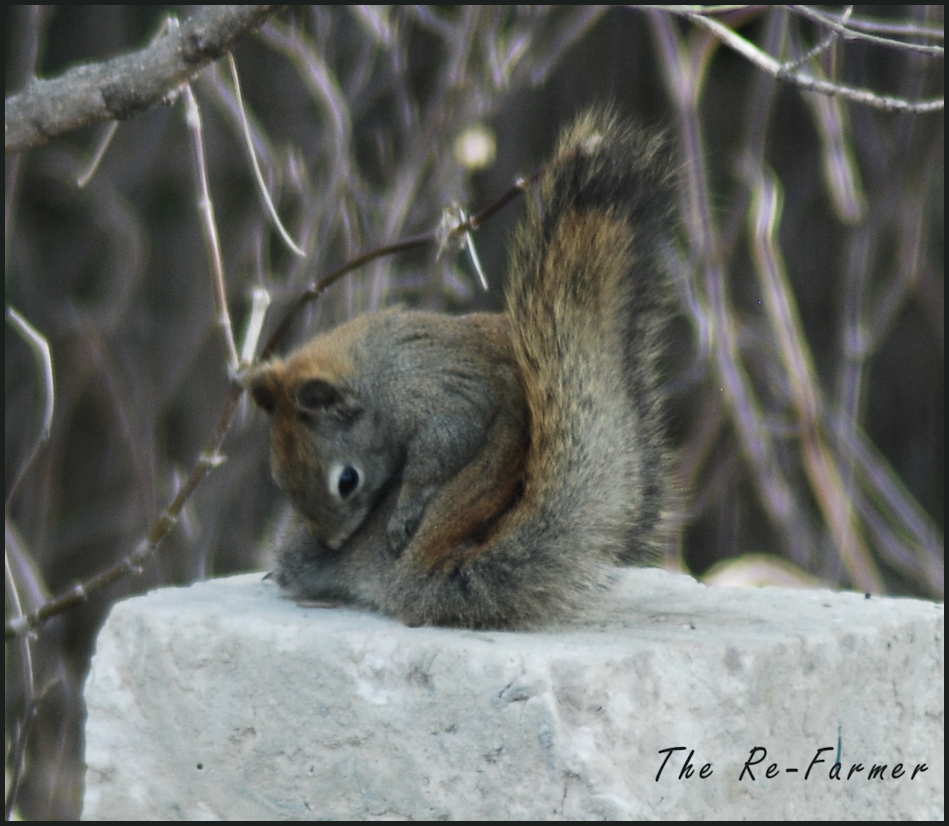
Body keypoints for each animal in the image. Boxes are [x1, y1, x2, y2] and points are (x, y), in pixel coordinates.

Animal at [249, 109, 675, 628]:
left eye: (346, 481)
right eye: (278, 478)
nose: (331, 542)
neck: (377, 370)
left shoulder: (440, 395)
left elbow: (443, 443)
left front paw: (406, 503)